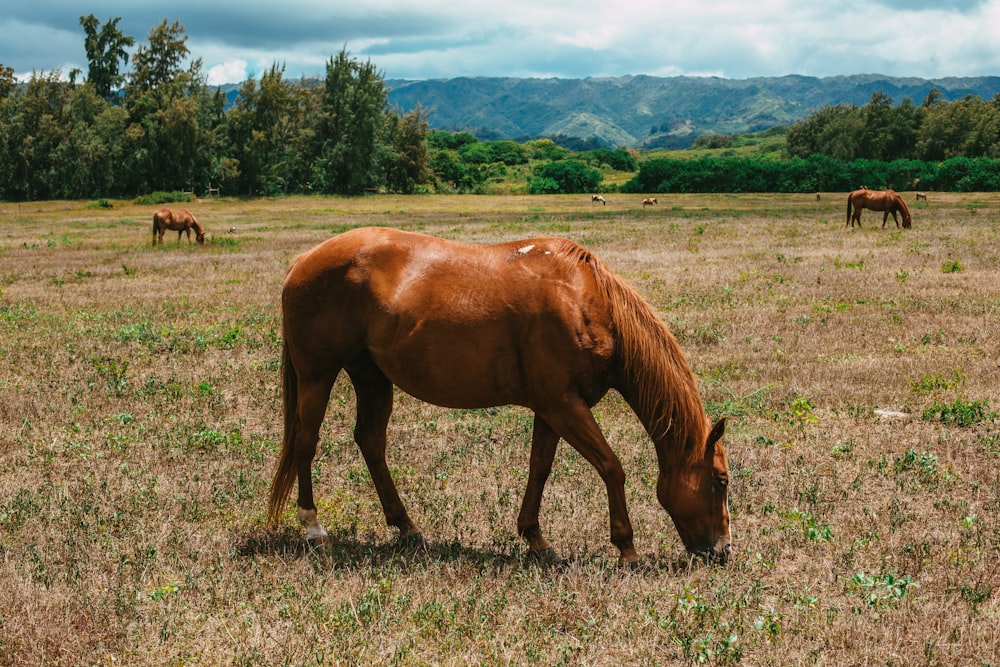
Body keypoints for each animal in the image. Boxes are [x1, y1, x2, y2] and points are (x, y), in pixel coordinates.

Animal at [270, 227, 732, 568]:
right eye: (722, 480)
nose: (723, 551)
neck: (585, 300)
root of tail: (303, 260)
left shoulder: (552, 408)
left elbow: (539, 469)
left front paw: (536, 539)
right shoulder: (565, 406)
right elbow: (611, 468)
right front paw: (627, 549)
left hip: (372, 379)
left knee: (370, 442)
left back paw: (407, 528)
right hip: (317, 375)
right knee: (306, 442)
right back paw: (313, 528)